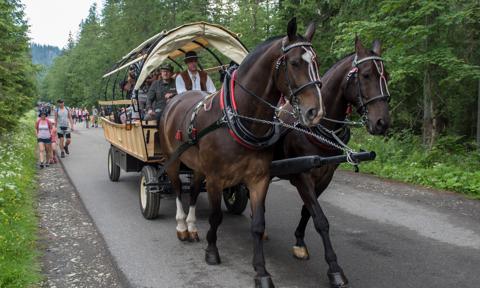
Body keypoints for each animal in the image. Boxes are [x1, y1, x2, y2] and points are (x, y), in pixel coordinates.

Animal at [161, 19, 326, 286]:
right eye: (294, 63)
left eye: (317, 61)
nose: (316, 112)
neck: (238, 117)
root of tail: (175, 100)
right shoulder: (216, 178)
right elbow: (216, 216)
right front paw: (212, 252)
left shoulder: (258, 178)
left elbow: (257, 224)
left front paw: (261, 271)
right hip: (172, 160)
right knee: (177, 189)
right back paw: (182, 227)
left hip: (197, 166)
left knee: (194, 191)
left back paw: (192, 226)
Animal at [274, 37, 390, 286]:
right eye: (366, 75)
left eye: (388, 75)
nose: (382, 122)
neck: (316, 127)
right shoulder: (302, 175)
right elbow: (321, 220)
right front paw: (334, 268)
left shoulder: (325, 175)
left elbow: (308, 212)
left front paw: (299, 242)